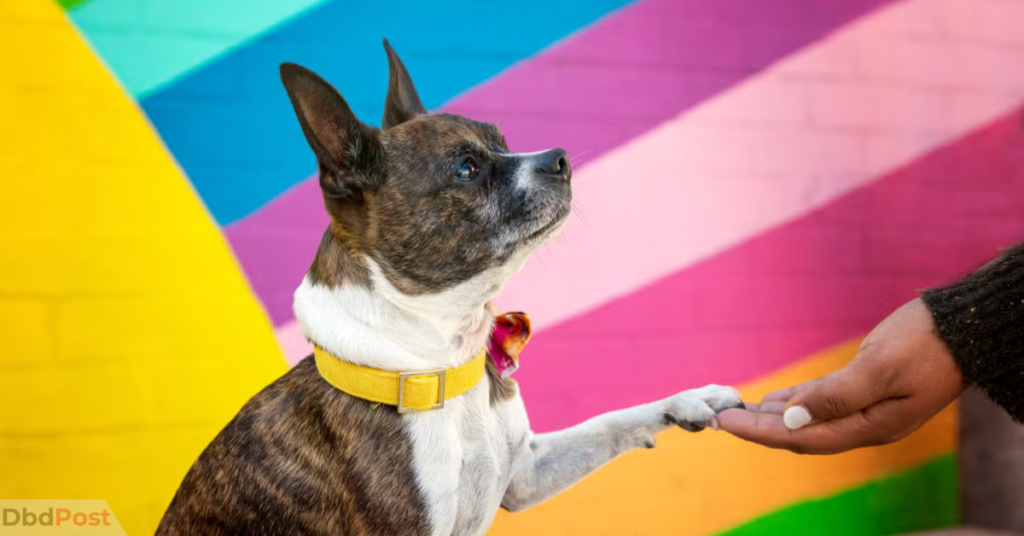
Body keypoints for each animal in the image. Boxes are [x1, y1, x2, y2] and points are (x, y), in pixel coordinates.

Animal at [153, 40, 745, 536]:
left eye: (505, 144)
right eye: (466, 169)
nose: (558, 158)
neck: (439, 359)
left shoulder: (526, 473)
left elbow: (608, 422)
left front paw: (691, 399)